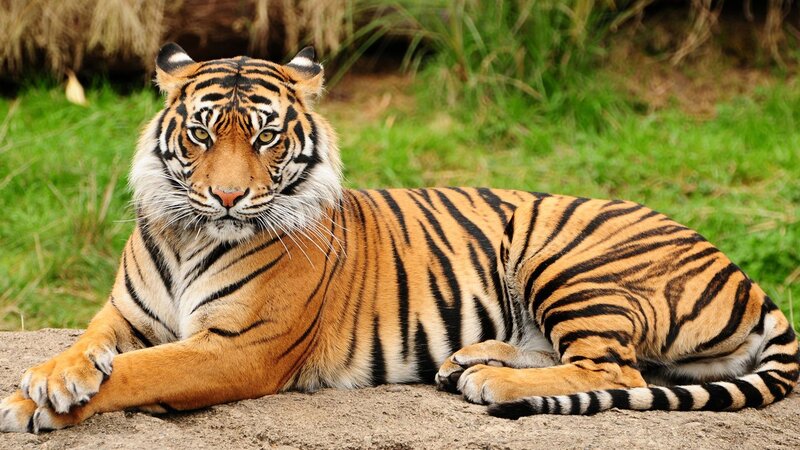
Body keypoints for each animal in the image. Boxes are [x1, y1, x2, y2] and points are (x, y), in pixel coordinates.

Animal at [1, 43, 797, 433]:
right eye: (201, 134)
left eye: (264, 138)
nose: (227, 196)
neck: (189, 232)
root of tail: (746, 275)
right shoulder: (125, 313)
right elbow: (90, 346)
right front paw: (51, 378)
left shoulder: (239, 347)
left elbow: (141, 372)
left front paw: (35, 401)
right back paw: (470, 359)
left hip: (567, 256)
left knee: (617, 370)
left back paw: (491, 380)